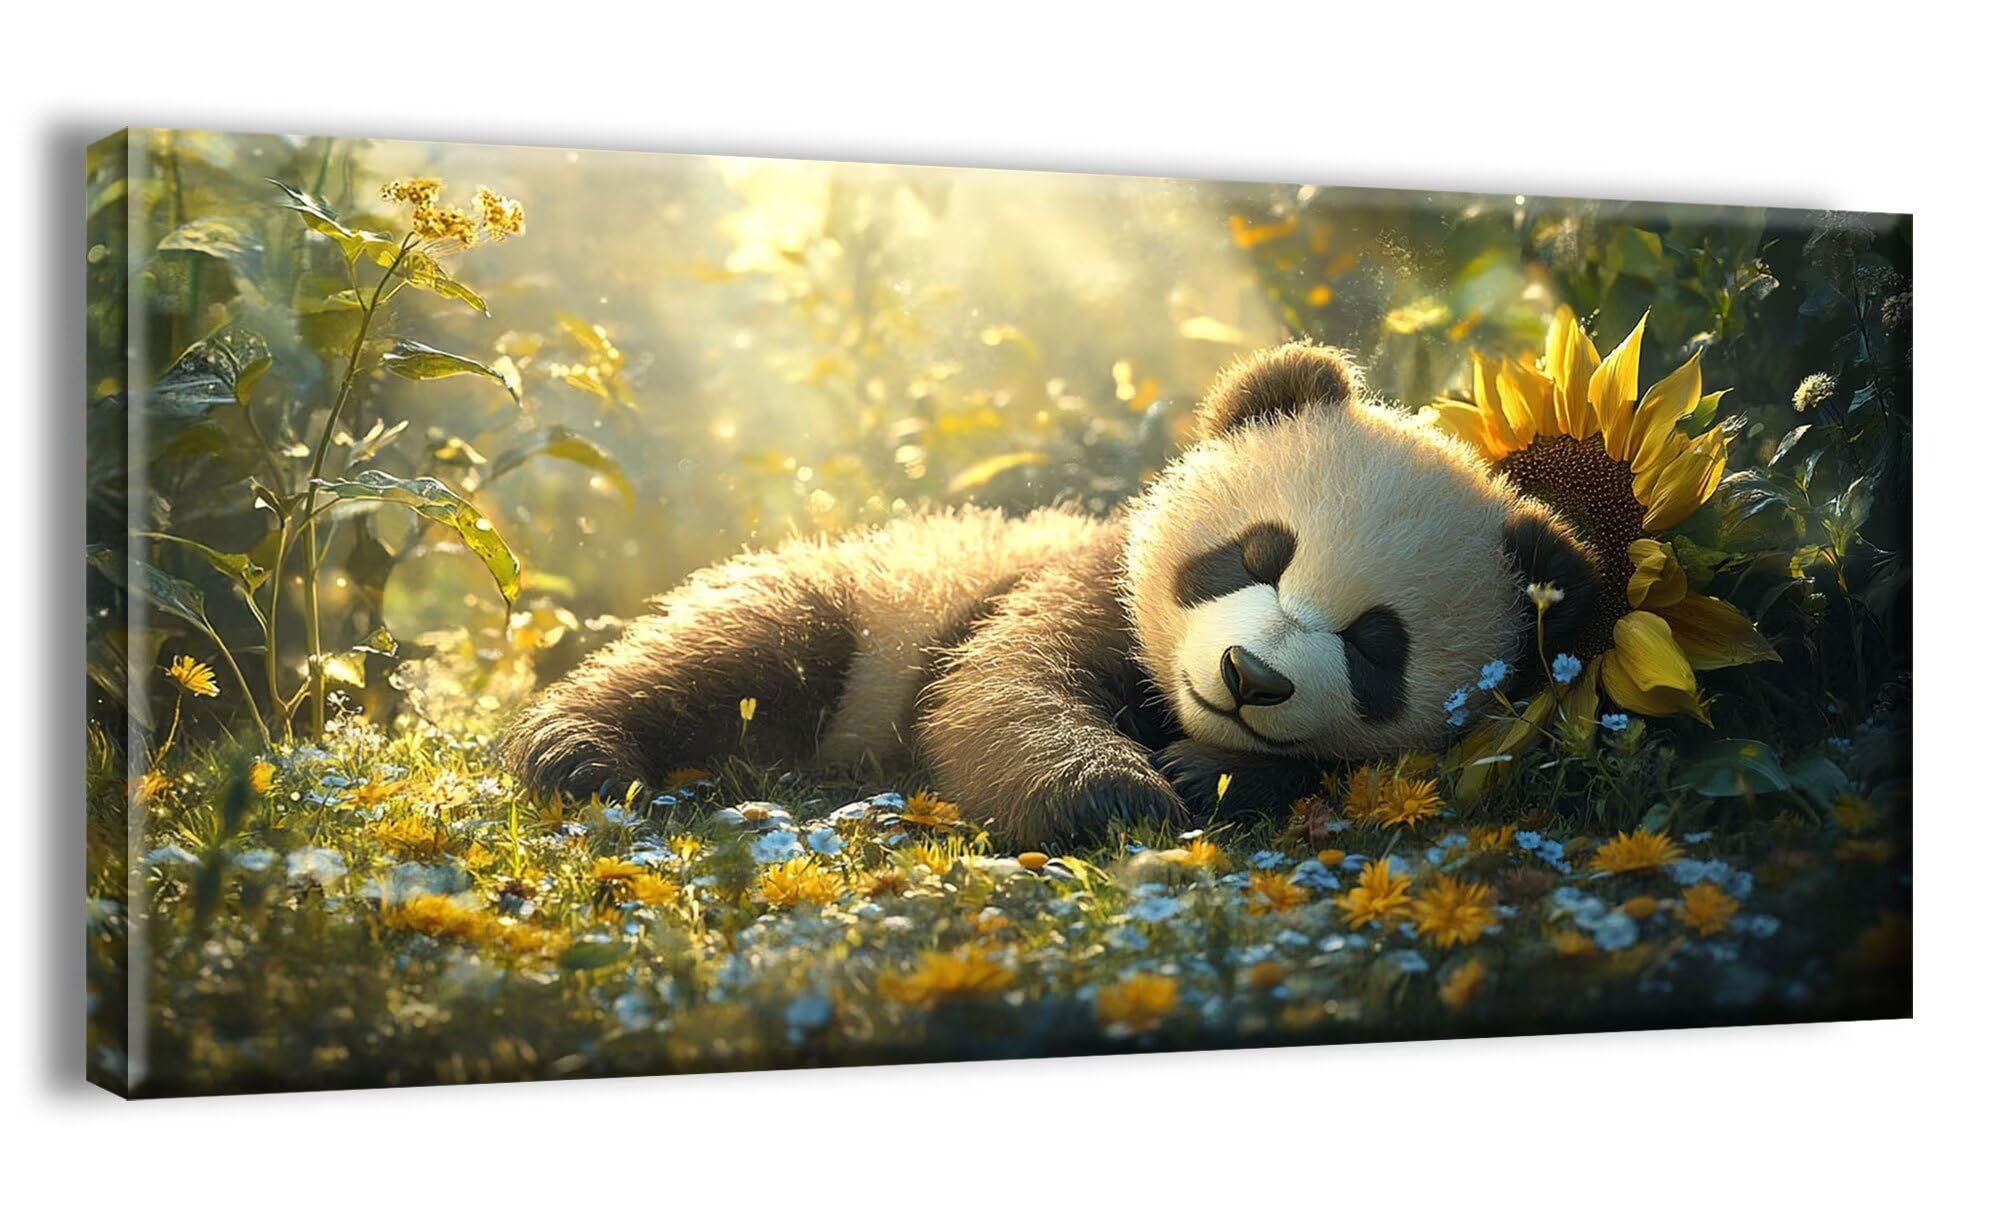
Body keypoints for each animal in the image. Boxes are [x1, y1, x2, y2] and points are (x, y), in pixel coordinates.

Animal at [504, 344, 1598, 848]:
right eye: (1254, 555)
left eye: (1375, 644)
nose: (1247, 676)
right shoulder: (1081, 581)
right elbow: (999, 689)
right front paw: (1112, 795)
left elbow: (1359, 769)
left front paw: (1210, 774)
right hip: (872, 599)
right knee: (747, 648)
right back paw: (576, 748)